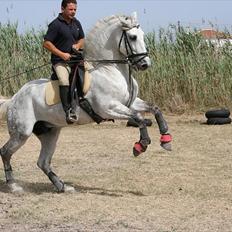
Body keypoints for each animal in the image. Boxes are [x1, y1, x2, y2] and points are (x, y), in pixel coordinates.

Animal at [0, 13, 172, 194]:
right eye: (132, 37)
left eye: (143, 35)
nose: (145, 64)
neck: (108, 70)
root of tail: (13, 99)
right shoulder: (108, 108)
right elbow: (138, 117)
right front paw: (141, 145)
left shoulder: (130, 103)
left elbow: (154, 109)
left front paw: (166, 140)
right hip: (21, 133)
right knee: (5, 152)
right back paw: (14, 185)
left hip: (50, 132)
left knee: (43, 162)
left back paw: (62, 186)